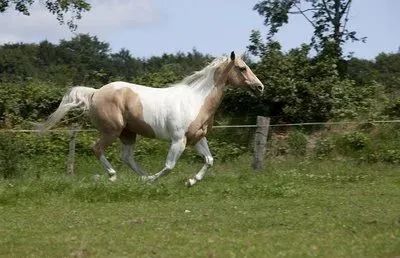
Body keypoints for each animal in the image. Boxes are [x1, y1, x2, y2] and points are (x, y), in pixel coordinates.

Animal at [36, 51, 262, 186]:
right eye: (242, 68)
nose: (260, 87)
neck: (196, 100)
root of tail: (95, 93)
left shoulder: (197, 139)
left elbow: (209, 160)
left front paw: (190, 181)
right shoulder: (178, 140)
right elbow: (169, 166)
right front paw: (154, 180)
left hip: (128, 133)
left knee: (127, 157)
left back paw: (142, 177)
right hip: (112, 131)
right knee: (97, 148)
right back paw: (115, 175)